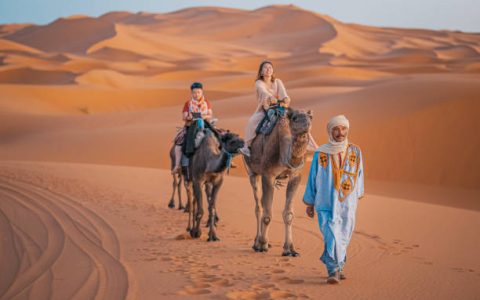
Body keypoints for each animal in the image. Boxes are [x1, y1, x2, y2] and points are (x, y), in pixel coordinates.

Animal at [244, 109, 316, 256]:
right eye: (295, 118)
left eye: (310, 117)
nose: (307, 124)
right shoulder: (268, 174)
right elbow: (267, 214)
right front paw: (263, 245)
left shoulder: (295, 175)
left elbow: (288, 214)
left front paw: (290, 249)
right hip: (253, 172)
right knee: (258, 207)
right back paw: (257, 242)